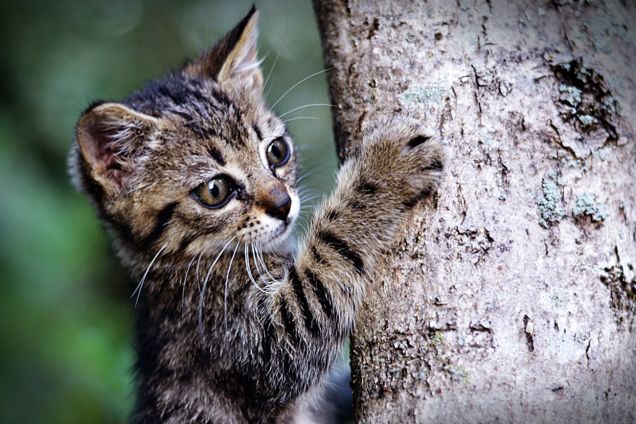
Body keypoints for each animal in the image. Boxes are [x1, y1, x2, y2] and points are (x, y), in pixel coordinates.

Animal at [67, 6, 444, 424]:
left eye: (277, 151)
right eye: (214, 190)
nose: (283, 205)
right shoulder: (261, 342)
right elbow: (328, 258)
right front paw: (383, 168)